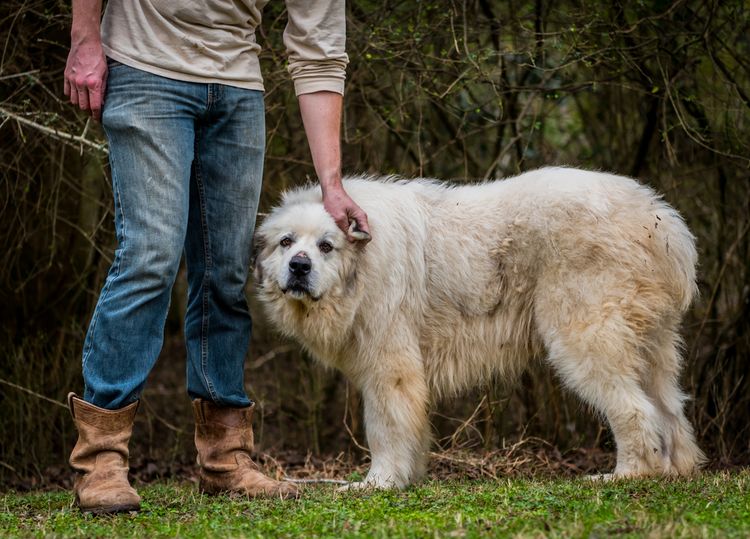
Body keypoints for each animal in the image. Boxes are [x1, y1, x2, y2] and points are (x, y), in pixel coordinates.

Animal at [256, 169, 708, 490]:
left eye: (325, 246)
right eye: (286, 242)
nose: (299, 266)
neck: (361, 266)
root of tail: (662, 221)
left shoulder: (390, 368)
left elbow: (385, 428)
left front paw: (378, 482)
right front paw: (407, 477)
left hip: (584, 339)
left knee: (634, 410)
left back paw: (627, 474)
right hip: (652, 347)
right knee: (669, 410)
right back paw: (675, 470)